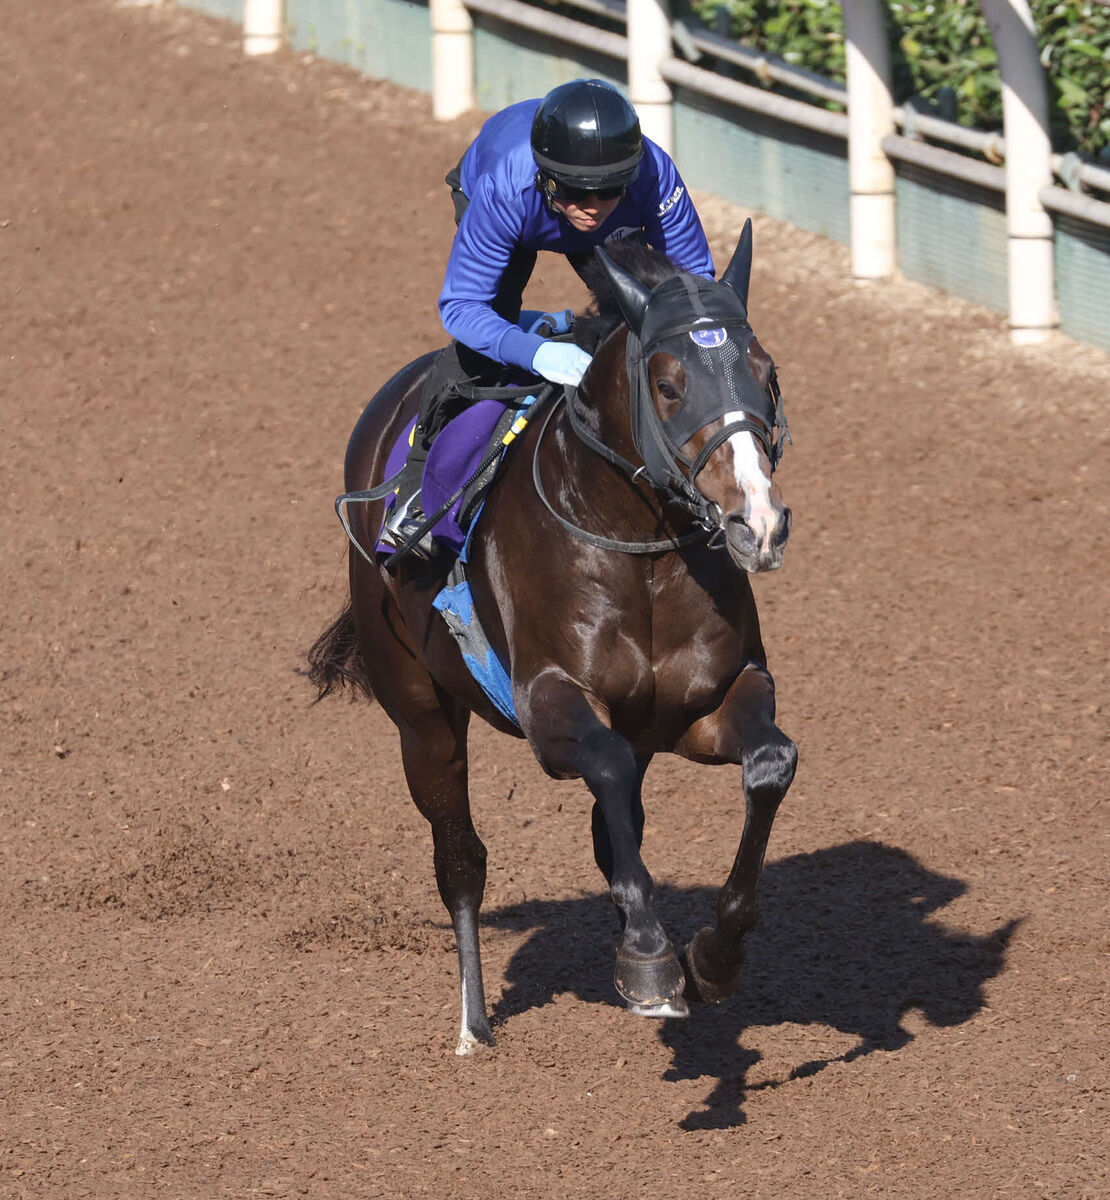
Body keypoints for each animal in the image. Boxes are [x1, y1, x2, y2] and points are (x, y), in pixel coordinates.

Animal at [309, 223, 796, 1051]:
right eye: (669, 384)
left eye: (768, 374)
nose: (755, 522)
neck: (640, 554)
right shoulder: (548, 708)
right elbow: (604, 771)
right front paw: (648, 958)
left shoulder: (705, 707)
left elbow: (768, 764)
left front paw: (711, 956)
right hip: (419, 715)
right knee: (461, 859)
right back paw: (474, 1023)